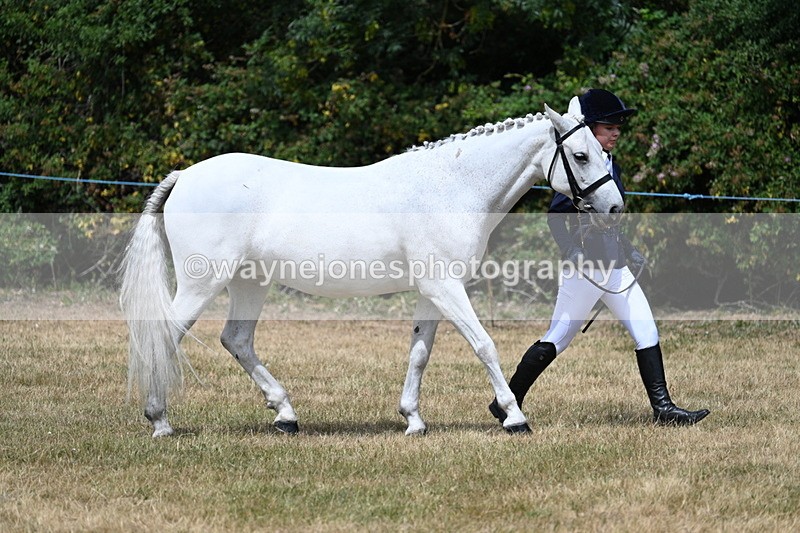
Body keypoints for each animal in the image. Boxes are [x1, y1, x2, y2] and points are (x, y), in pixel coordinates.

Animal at [120, 96, 623, 437]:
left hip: (250, 282)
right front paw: (514, 417)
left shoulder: (432, 291)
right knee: (165, 334)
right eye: (581, 155)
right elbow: (484, 345)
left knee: (237, 340)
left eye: (602, 151)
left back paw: (286, 415)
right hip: (202, 282)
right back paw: (160, 421)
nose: (616, 208)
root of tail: (185, 175)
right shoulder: (446, 288)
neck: (451, 186)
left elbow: (420, 352)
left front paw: (413, 420)